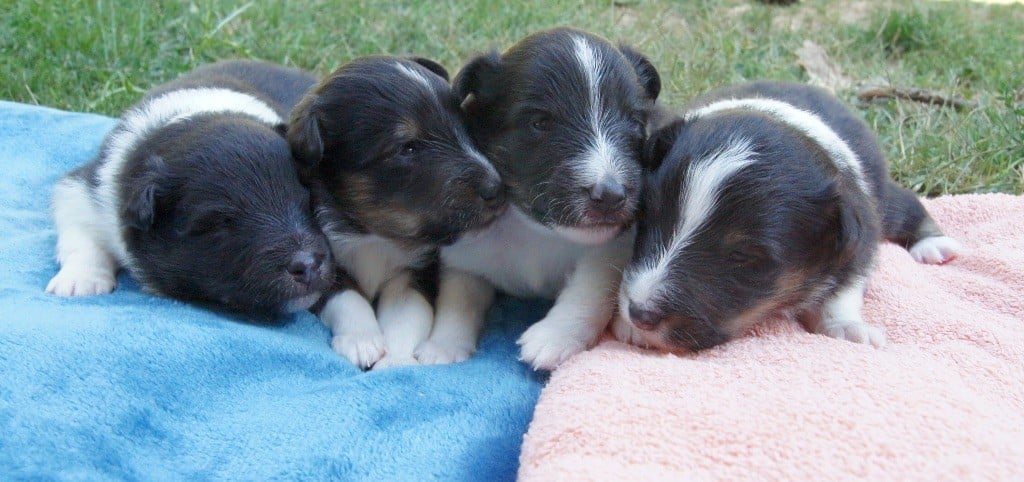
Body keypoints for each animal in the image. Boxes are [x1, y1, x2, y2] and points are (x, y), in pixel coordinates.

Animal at [46, 59, 333, 317]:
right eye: (218, 224)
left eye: (307, 203)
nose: (308, 265)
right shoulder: (88, 188)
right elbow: (79, 230)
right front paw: (80, 280)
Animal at [288, 53, 503, 370]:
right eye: (407, 148)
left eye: (465, 127)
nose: (497, 189)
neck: (373, 234)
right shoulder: (322, 268)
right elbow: (347, 298)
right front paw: (361, 341)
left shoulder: (414, 272)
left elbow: (407, 317)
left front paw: (395, 361)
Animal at [415, 28, 663, 372]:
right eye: (540, 123)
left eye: (635, 124)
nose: (612, 195)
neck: (534, 230)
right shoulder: (466, 257)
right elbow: (457, 299)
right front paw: (443, 346)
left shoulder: (610, 247)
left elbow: (589, 288)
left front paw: (554, 336)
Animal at [610, 79, 962, 349]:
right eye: (648, 217)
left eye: (742, 256)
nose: (640, 314)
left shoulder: (860, 237)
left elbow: (846, 286)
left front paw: (849, 328)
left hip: (884, 201)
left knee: (909, 205)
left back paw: (934, 246)